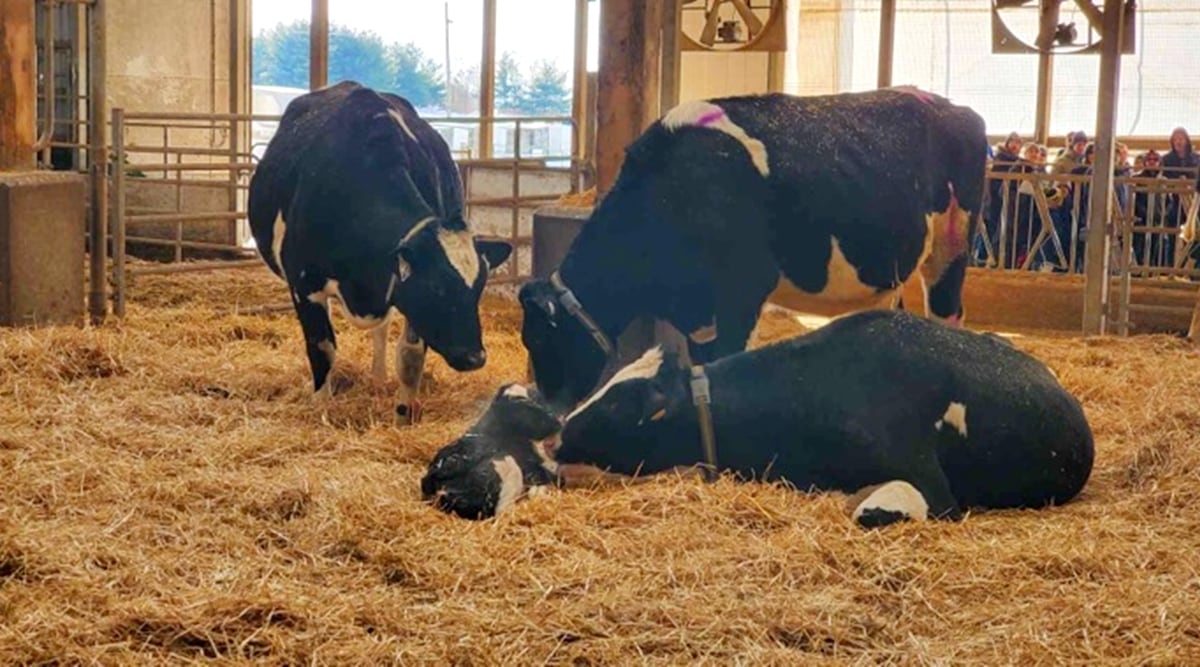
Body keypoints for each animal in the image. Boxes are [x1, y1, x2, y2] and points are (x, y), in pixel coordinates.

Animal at [247, 81, 512, 423]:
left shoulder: (402, 290)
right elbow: (322, 347)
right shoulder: (304, 284)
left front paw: (402, 416)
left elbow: (410, 357)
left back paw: (378, 377)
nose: (474, 357)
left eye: (479, 287)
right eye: (436, 287)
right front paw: (321, 408)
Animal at [518, 87, 988, 411]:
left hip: (951, 247)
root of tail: (953, 107)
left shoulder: (742, 293)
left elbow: (727, 363)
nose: (546, 407)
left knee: (949, 314)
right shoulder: (699, 313)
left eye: (538, 339)